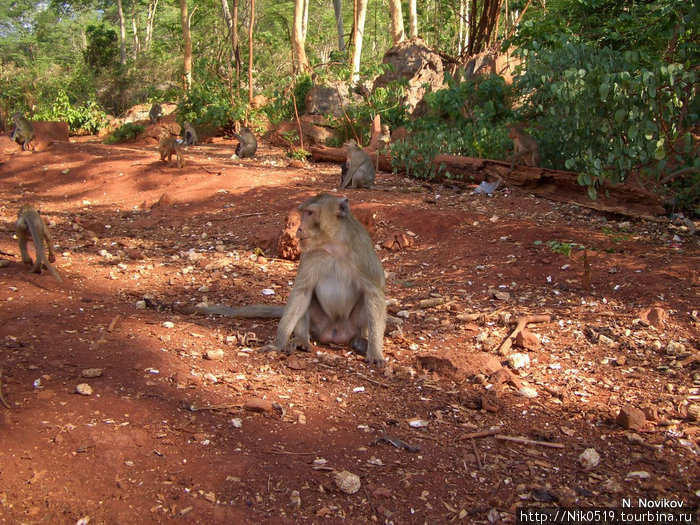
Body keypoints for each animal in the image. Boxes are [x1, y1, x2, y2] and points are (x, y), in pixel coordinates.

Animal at [191, 193, 388, 368]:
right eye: (304, 213)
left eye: (310, 213)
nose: (299, 228)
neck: (332, 246)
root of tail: (335, 333)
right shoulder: (308, 254)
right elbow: (302, 291)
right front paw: (279, 344)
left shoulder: (362, 252)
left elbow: (374, 293)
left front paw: (375, 351)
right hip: (320, 326)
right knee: (305, 298)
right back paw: (301, 339)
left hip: (351, 327)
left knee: (366, 300)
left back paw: (361, 340)